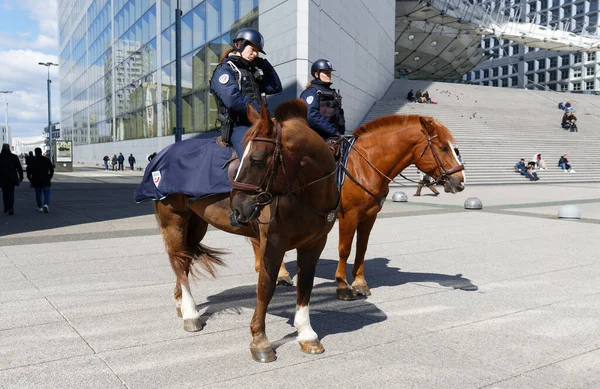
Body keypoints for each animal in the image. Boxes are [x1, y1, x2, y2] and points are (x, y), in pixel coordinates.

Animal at [152, 98, 340, 362]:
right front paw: (260, 340)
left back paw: (182, 304)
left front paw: (307, 335)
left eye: (258, 159)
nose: (238, 208)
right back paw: (190, 313)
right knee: (178, 261)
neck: (306, 194)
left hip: (196, 223)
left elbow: (306, 285)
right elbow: (265, 286)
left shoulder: (314, 244)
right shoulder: (273, 243)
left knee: (185, 260)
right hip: (173, 220)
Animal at [255, 113, 466, 298]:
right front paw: (342, 285)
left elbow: (361, 248)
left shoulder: (369, 216)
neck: (365, 165)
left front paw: (359, 283)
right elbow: (345, 249)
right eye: (443, 148)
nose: (460, 181)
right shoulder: (349, 216)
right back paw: (279, 273)